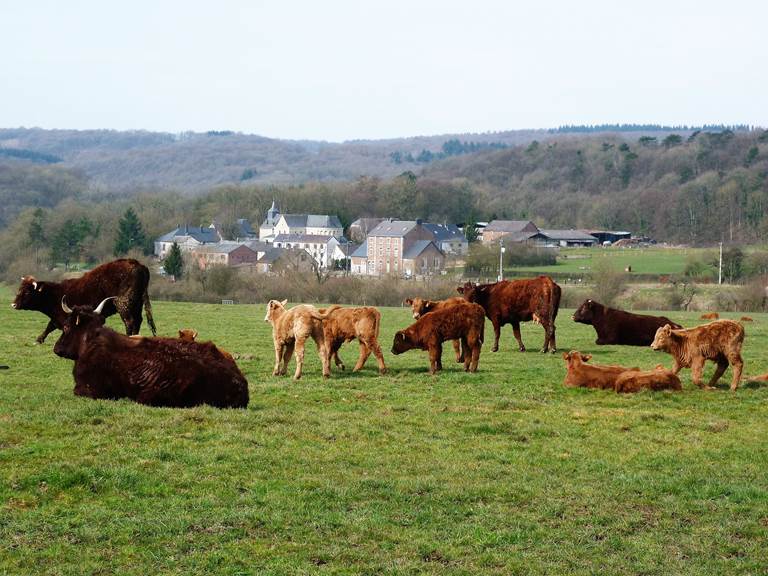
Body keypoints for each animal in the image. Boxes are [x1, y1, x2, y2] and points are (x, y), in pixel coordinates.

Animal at [54, 296, 246, 410]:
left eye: (66, 326)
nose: (56, 348)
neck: (91, 340)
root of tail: (239, 383)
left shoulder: (88, 388)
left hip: (148, 396)